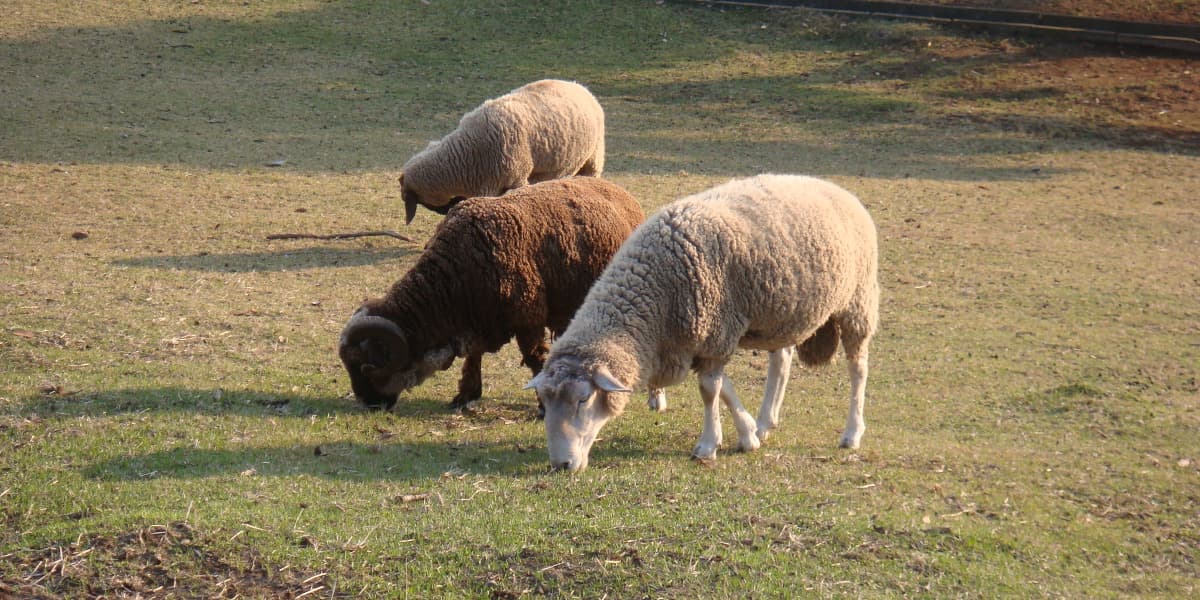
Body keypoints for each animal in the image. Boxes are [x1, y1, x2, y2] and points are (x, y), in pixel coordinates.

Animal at [338, 176, 648, 412]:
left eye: (366, 366)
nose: (369, 405)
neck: (455, 273)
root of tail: (625, 195)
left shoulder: (528, 319)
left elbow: (534, 359)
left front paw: (542, 406)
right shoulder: (478, 323)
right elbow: (473, 357)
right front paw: (465, 396)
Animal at [530, 174, 878, 472]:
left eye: (583, 399)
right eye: (545, 401)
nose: (561, 465)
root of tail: (839, 190)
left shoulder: (716, 330)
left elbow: (710, 390)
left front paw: (708, 445)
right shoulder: (708, 338)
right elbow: (724, 387)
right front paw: (748, 434)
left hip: (858, 301)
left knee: (858, 369)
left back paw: (852, 433)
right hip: (782, 313)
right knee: (782, 360)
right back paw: (766, 421)